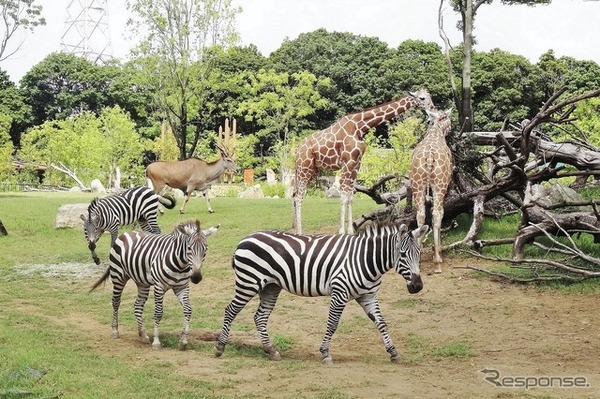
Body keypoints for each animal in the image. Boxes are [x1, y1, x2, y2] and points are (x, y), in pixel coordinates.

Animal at [89, 220, 220, 352]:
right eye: (189, 248)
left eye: (205, 248)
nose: (196, 277)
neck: (180, 265)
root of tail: (126, 233)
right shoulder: (159, 287)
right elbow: (158, 313)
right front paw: (156, 342)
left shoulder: (182, 287)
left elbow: (188, 310)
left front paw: (183, 341)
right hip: (118, 276)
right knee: (116, 302)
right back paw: (115, 331)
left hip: (142, 282)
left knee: (138, 305)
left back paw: (143, 335)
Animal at [214, 222, 426, 366]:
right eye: (403, 255)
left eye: (420, 253)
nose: (417, 286)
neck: (365, 259)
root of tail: (245, 238)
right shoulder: (340, 293)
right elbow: (332, 324)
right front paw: (325, 353)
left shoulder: (368, 296)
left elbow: (382, 323)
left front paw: (393, 352)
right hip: (248, 282)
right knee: (230, 310)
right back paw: (220, 347)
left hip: (270, 287)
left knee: (260, 317)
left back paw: (271, 350)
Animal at [292, 88, 434, 234]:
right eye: (422, 98)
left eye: (430, 96)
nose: (432, 107)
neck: (359, 126)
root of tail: (297, 151)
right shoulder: (347, 162)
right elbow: (344, 196)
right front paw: (342, 231)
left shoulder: (356, 164)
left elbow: (350, 196)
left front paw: (350, 231)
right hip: (304, 168)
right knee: (298, 197)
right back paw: (299, 232)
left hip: (310, 170)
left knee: (295, 196)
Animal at [410, 108, 452, 274]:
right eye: (448, 118)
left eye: (428, 120)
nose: (450, 128)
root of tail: (429, 156)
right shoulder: (445, 185)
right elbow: (440, 213)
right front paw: (437, 251)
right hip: (439, 184)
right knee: (436, 214)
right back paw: (438, 263)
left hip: (417, 185)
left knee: (420, 214)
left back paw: (418, 257)